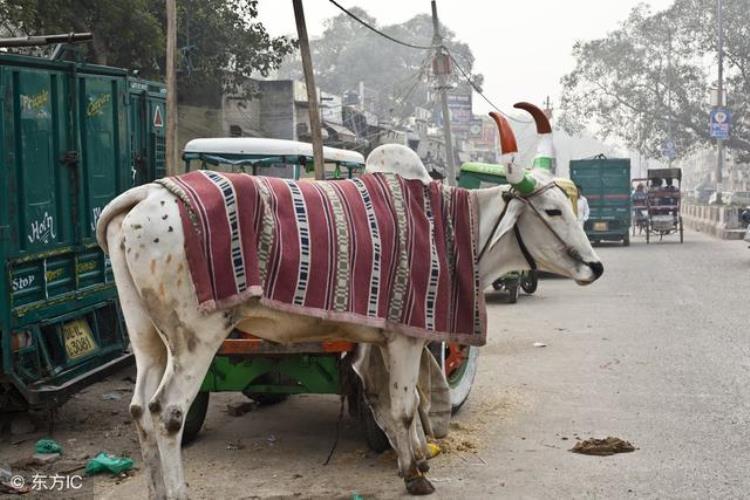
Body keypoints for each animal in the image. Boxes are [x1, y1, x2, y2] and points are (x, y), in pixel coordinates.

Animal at [98, 111, 604, 498]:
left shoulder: (381, 339)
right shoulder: (405, 337)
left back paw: (154, 488)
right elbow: (403, 406)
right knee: (167, 413)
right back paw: (176, 489)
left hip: (147, 336)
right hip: (196, 336)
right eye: (553, 211)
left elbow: (395, 401)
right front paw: (415, 474)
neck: (450, 227)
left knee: (140, 409)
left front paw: (416, 458)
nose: (595, 267)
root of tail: (150, 193)